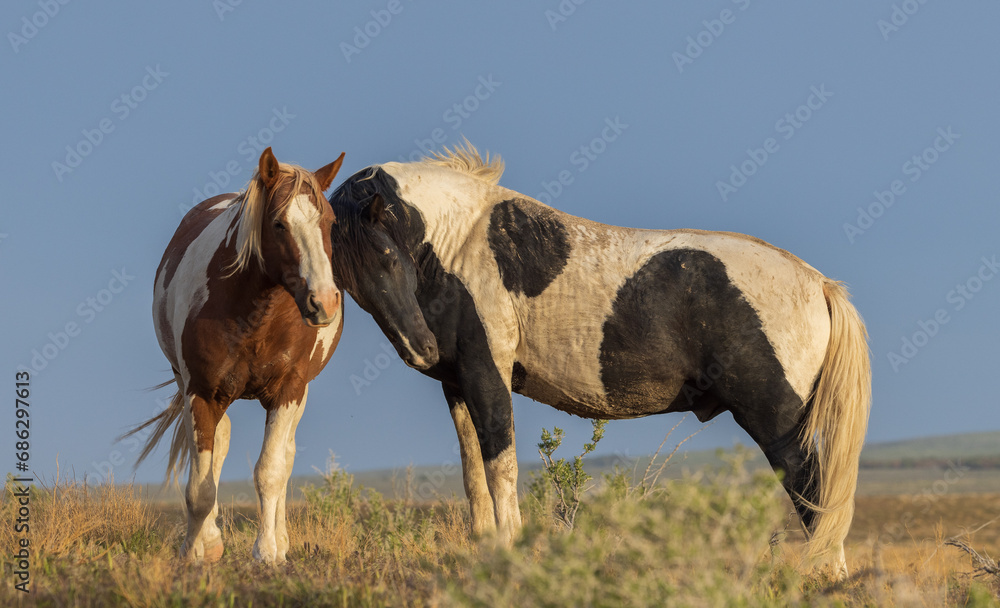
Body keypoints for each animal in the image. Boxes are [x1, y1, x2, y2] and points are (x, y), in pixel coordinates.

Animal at [125, 147, 350, 563]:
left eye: (329, 221)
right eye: (278, 224)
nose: (324, 302)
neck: (256, 313)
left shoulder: (288, 390)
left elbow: (271, 471)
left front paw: (267, 552)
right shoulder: (200, 392)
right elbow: (201, 485)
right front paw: (195, 551)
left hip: (300, 393)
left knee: (285, 456)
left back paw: (280, 540)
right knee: (218, 447)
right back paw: (209, 539)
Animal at [327, 142, 871, 575]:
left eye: (389, 256)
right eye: (346, 278)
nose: (420, 349)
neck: (459, 244)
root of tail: (818, 283)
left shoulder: (486, 374)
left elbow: (501, 467)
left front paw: (509, 558)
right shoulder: (456, 383)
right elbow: (473, 476)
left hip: (777, 423)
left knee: (815, 496)